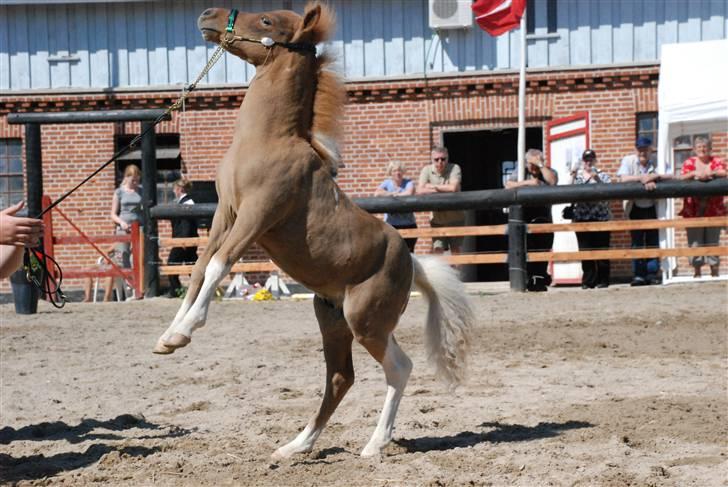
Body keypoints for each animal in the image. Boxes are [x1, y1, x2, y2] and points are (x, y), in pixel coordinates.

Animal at [154, 1, 474, 460]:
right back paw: (295, 446)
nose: (208, 15)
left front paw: (184, 331)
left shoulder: (257, 215)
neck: (269, 140)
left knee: (399, 367)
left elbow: (219, 266)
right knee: (340, 377)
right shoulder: (225, 214)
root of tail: (412, 263)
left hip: (366, 321)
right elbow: (199, 270)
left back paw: (374, 445)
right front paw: (167, 337)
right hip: (331, 319)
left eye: (267, 20)